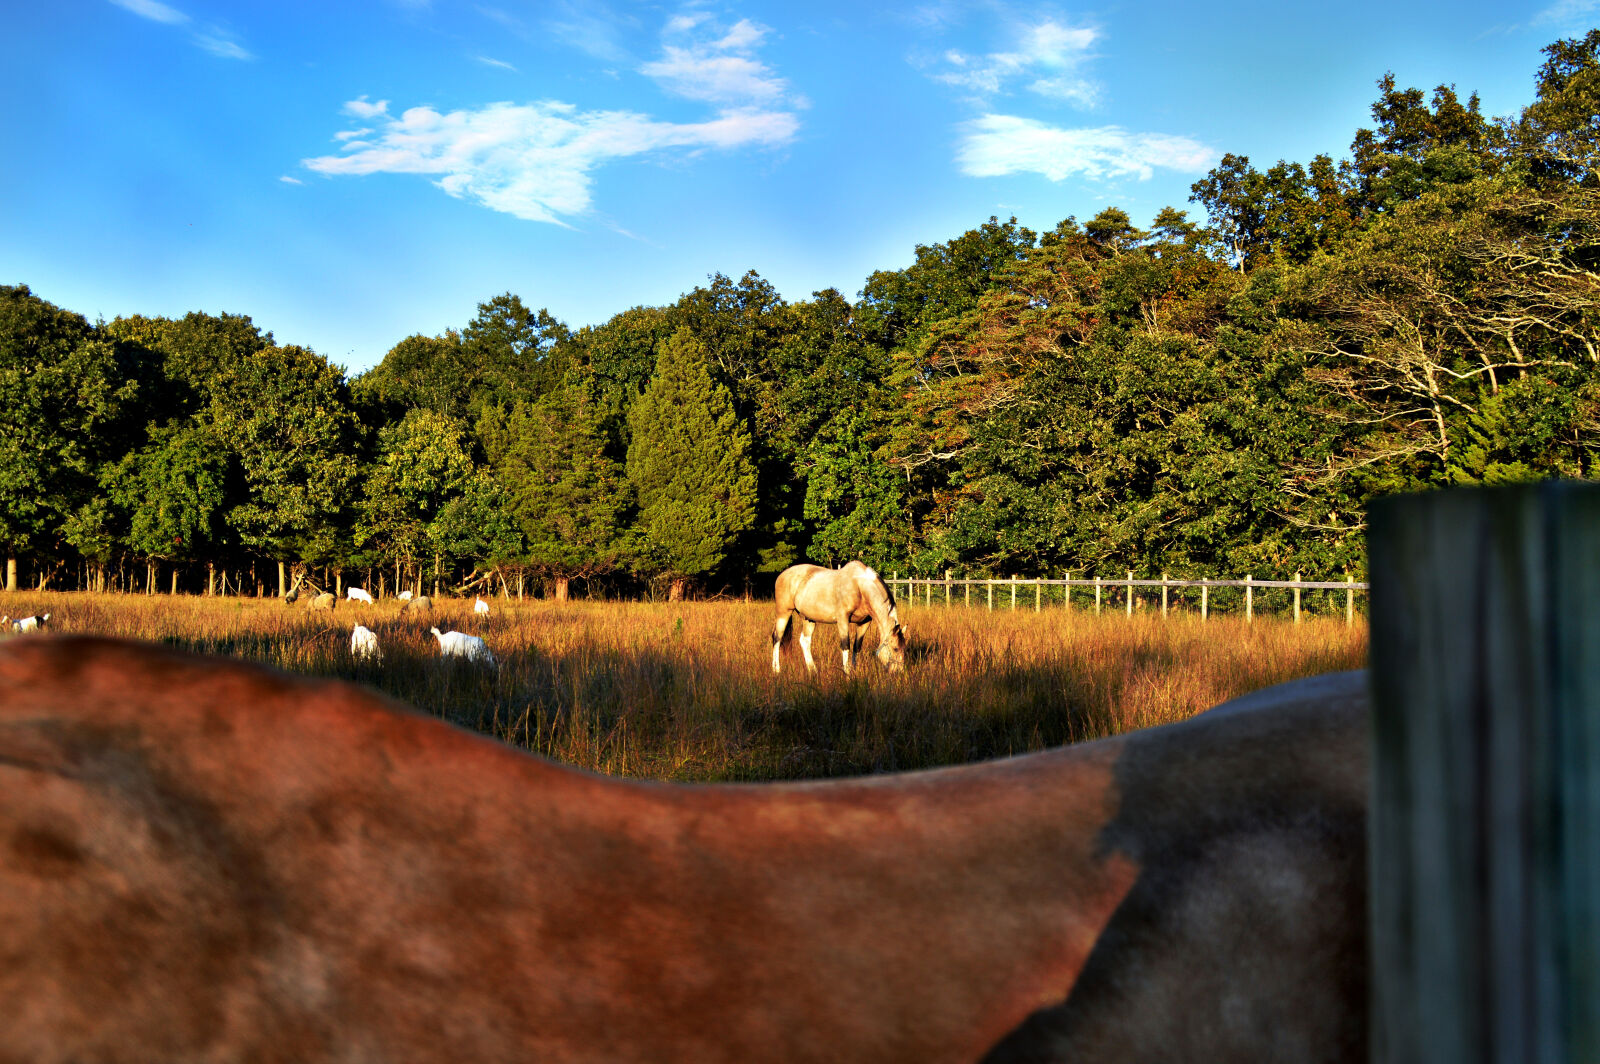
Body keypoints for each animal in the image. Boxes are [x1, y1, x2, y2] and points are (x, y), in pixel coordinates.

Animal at [771, 560, 908, 675]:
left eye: (904, 648)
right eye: (895, 649)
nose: (899, 672)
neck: (859, 587)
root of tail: (782, 574)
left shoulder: (864, 623)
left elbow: (856, 646)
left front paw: (854, 670)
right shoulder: (843, 619)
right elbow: (845, 645)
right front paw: (847, 673)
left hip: (808, 619)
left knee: (805, 641)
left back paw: (813, 670)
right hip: (783, 613)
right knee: (777, 638)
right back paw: (776, 669)